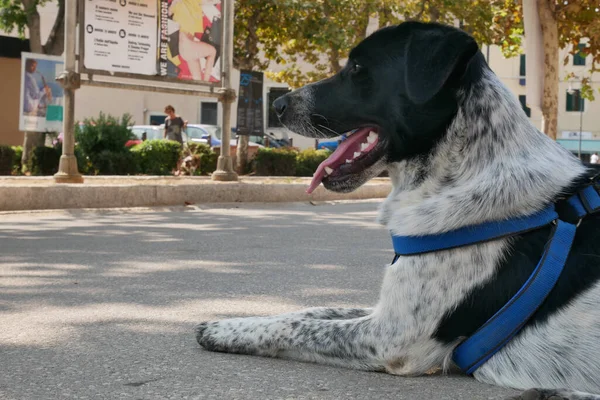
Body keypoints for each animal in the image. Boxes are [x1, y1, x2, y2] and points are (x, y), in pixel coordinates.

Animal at [197, 22, 600, 400]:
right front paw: (235, 319)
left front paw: (222, 330)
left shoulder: (393, 337)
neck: (462, 171)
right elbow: (307, 311)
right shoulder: (385, 311)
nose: (279, 105)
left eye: (358, 68)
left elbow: (296, 328)